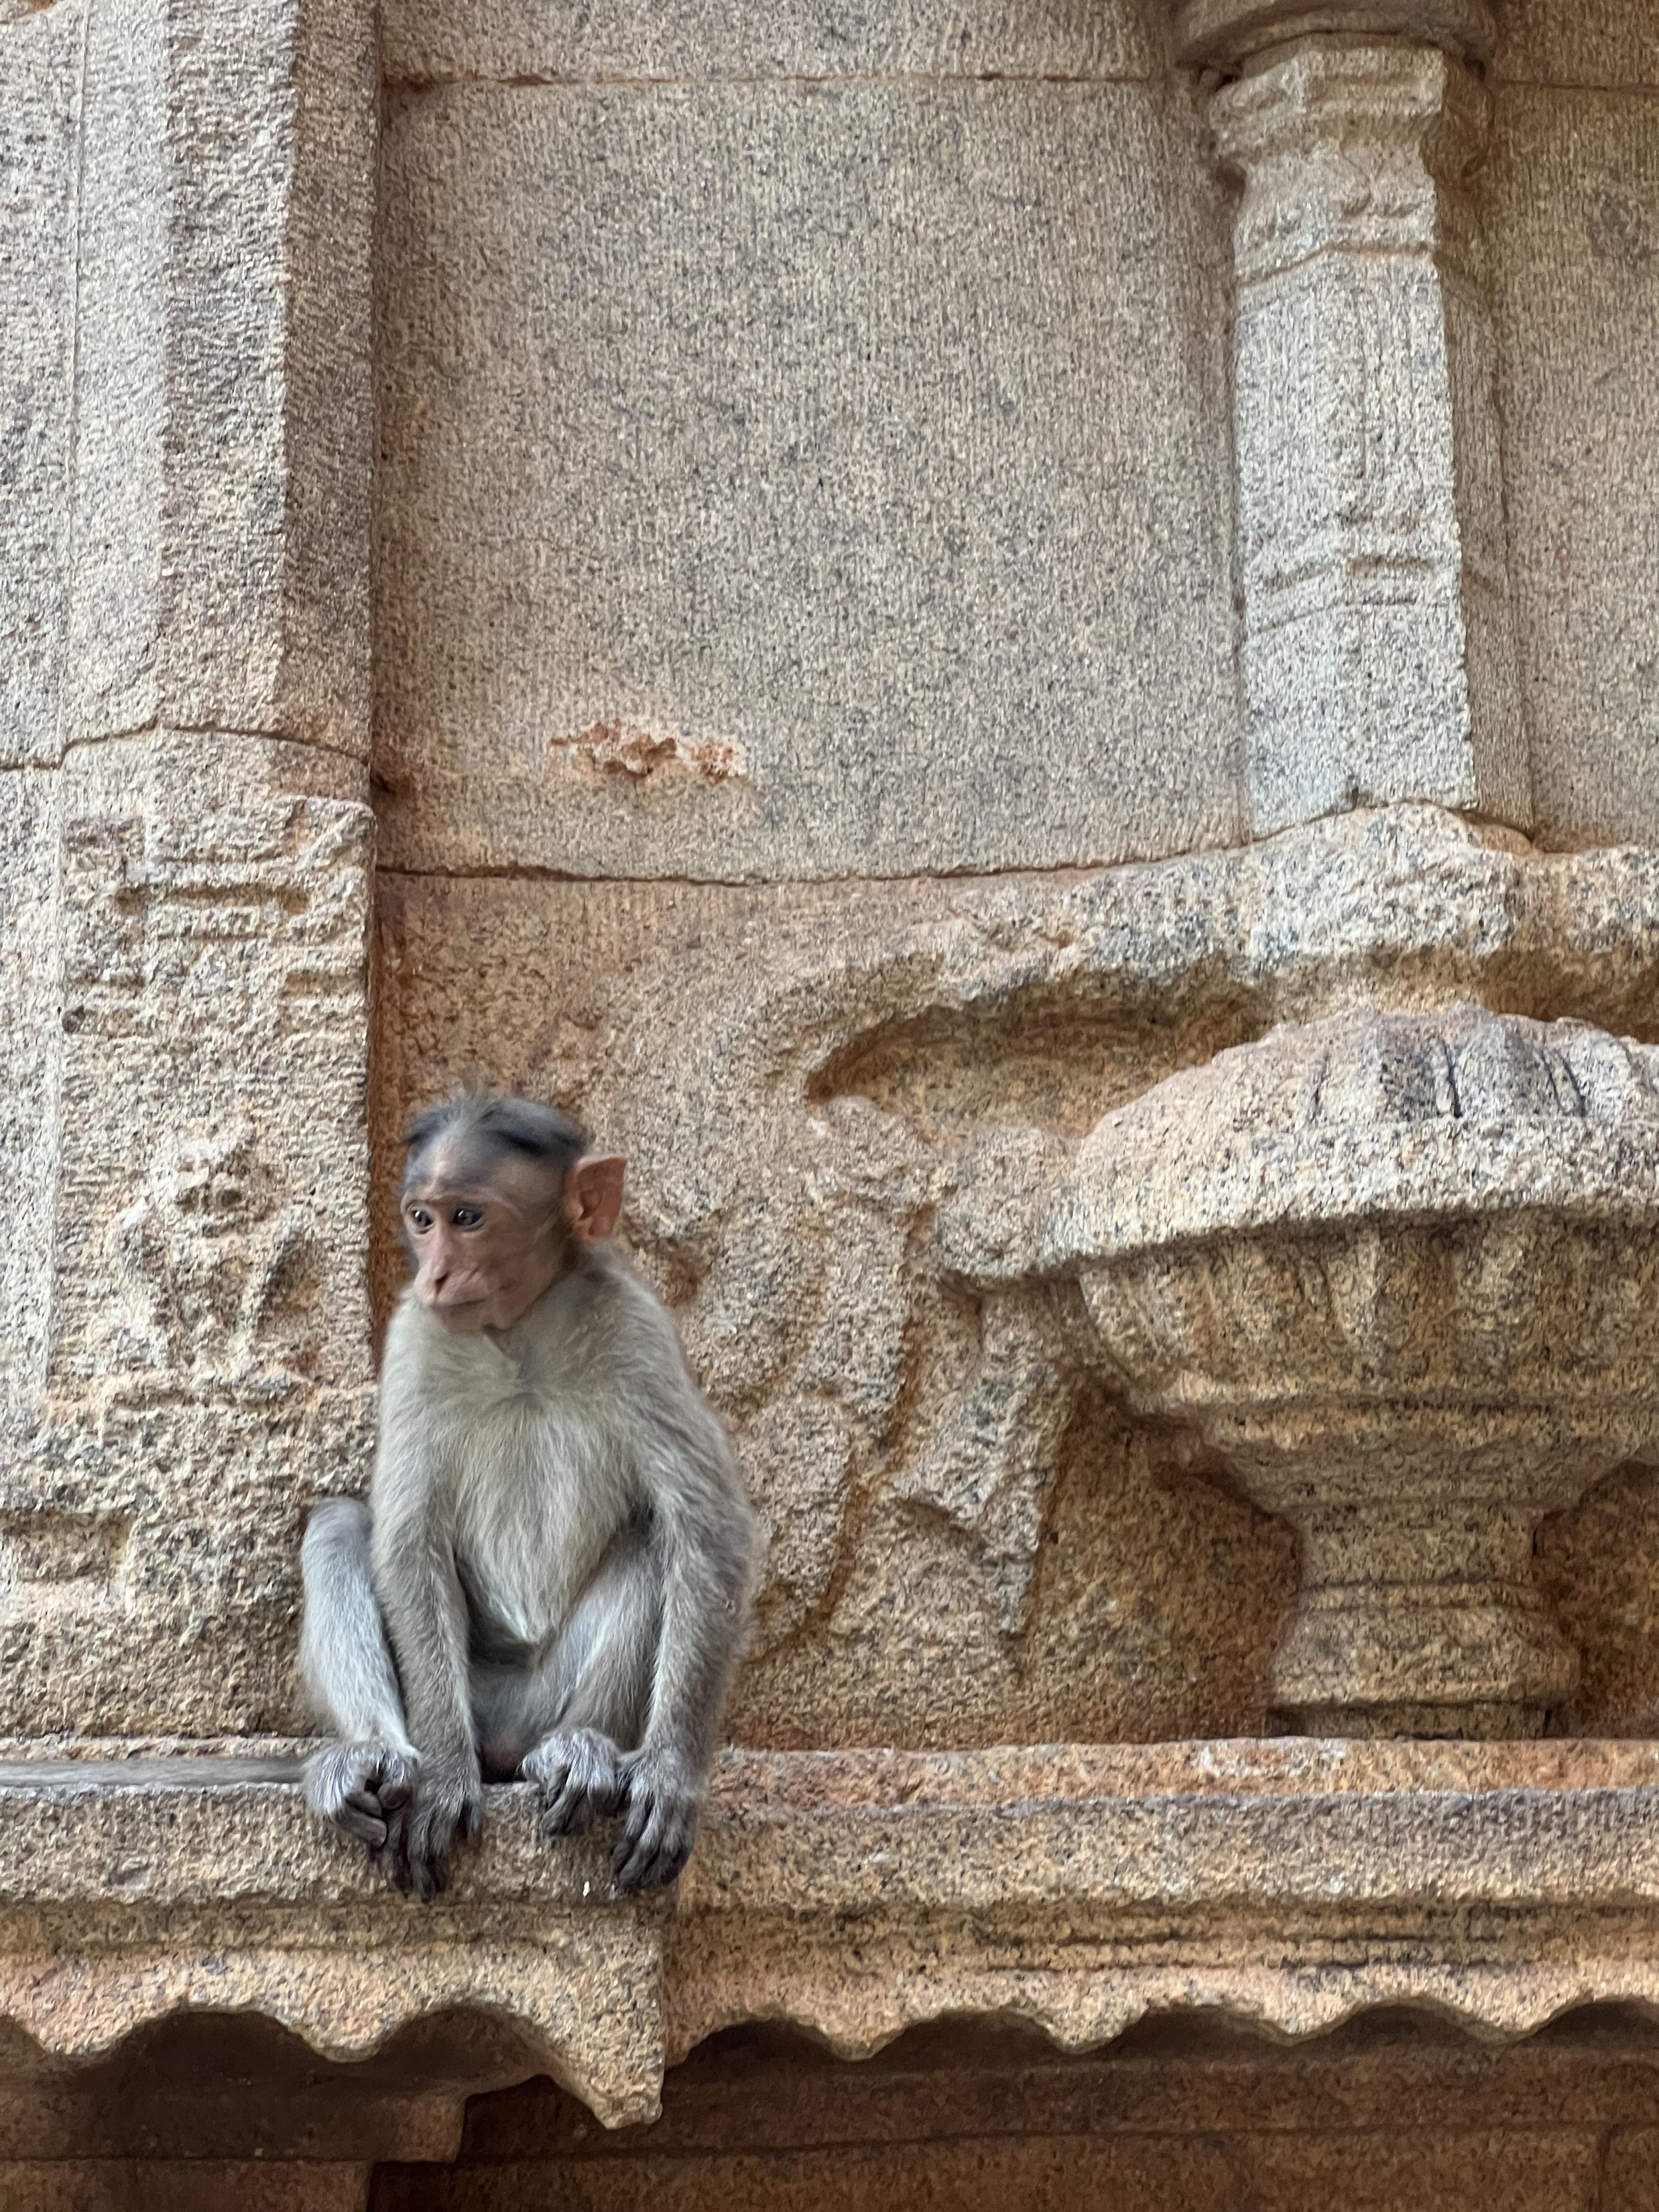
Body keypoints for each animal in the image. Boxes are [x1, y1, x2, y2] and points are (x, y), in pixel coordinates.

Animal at [297, 1090, 756, 1898]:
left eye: (468, 1218)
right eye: (422, 1218)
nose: (437, 1274)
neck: (520, 1338)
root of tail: (506, 1736)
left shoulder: (636, 1331)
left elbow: (708, 1533)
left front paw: (672, 1774)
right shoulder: (417, 1337)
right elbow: (407, 1542)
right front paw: (446, 1775)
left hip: (539, 1699)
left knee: (652, 1542)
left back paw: (578, 1752)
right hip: (470, 1693)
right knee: (341, 1527)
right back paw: (372, 1760)